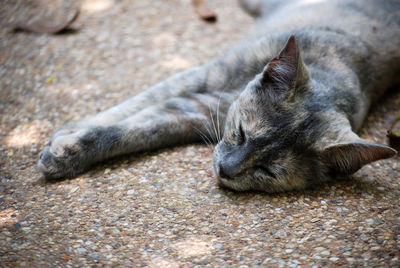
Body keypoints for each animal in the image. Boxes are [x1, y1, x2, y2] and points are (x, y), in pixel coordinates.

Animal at [39, 0, 400, 193]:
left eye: (268, 171)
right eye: (241, 134)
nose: (226, 169)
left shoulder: (193, 111)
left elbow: (131, 132)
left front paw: (68, 151)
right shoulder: (198, 76)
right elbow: (132, 107)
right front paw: (69, 132)